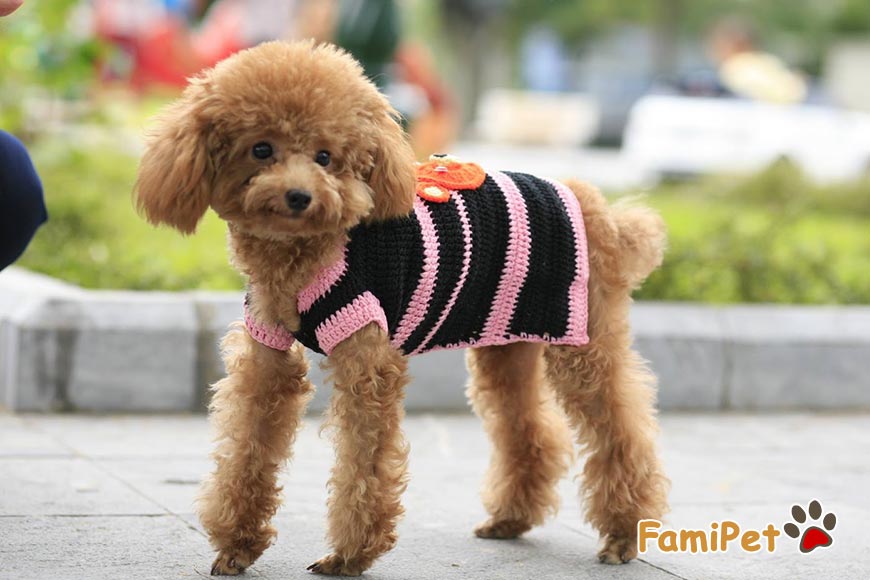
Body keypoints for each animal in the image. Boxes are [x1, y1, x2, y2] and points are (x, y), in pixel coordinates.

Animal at [134, 40, 669, 576]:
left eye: (326, 157)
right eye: (261, 149)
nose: (299, 196)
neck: (307, 252)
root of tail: (595, 208)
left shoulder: (366, 359)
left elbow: (364, 457)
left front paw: (349, 554)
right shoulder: (267, 354)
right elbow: (249, 441)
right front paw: (237, 545)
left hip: (583, 341)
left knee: (621, 429)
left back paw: (623, 533)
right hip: (508, 345)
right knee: (528, 428)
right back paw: (512, 519)